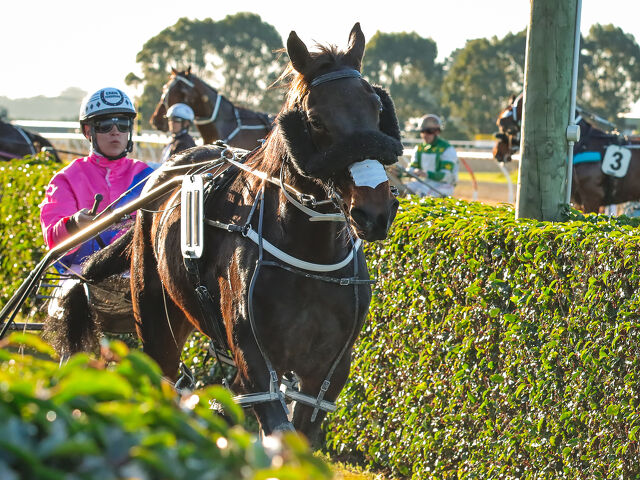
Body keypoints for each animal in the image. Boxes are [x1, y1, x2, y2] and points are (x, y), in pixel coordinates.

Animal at [47, 22, 402, 444]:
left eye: (377, 108)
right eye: (316, 119)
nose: (374, 211)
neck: (310, 257)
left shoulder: (328, 373)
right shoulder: (253, 357)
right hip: (155, 319)